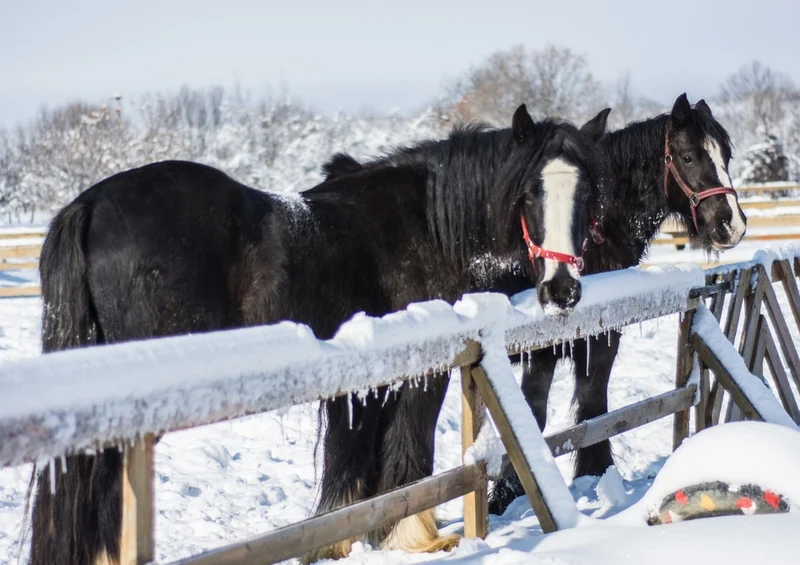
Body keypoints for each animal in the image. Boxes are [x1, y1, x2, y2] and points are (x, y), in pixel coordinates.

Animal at [29, 103, 615, 565]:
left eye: (588, 192)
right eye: (529, 193)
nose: (562, 289)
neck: (427, 224)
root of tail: (89, 206)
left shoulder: (366, 384)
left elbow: (355, 466)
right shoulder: (421, 374)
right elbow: (407, 456)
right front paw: (414, 540)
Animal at [488, 93, 748, 515]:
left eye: (726, 155)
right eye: (689, 156)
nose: (732, 225)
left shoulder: (596, 343)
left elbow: (593, 410)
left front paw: (593, 476)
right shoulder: (546, 352)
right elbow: (543, 414)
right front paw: (506, 496)